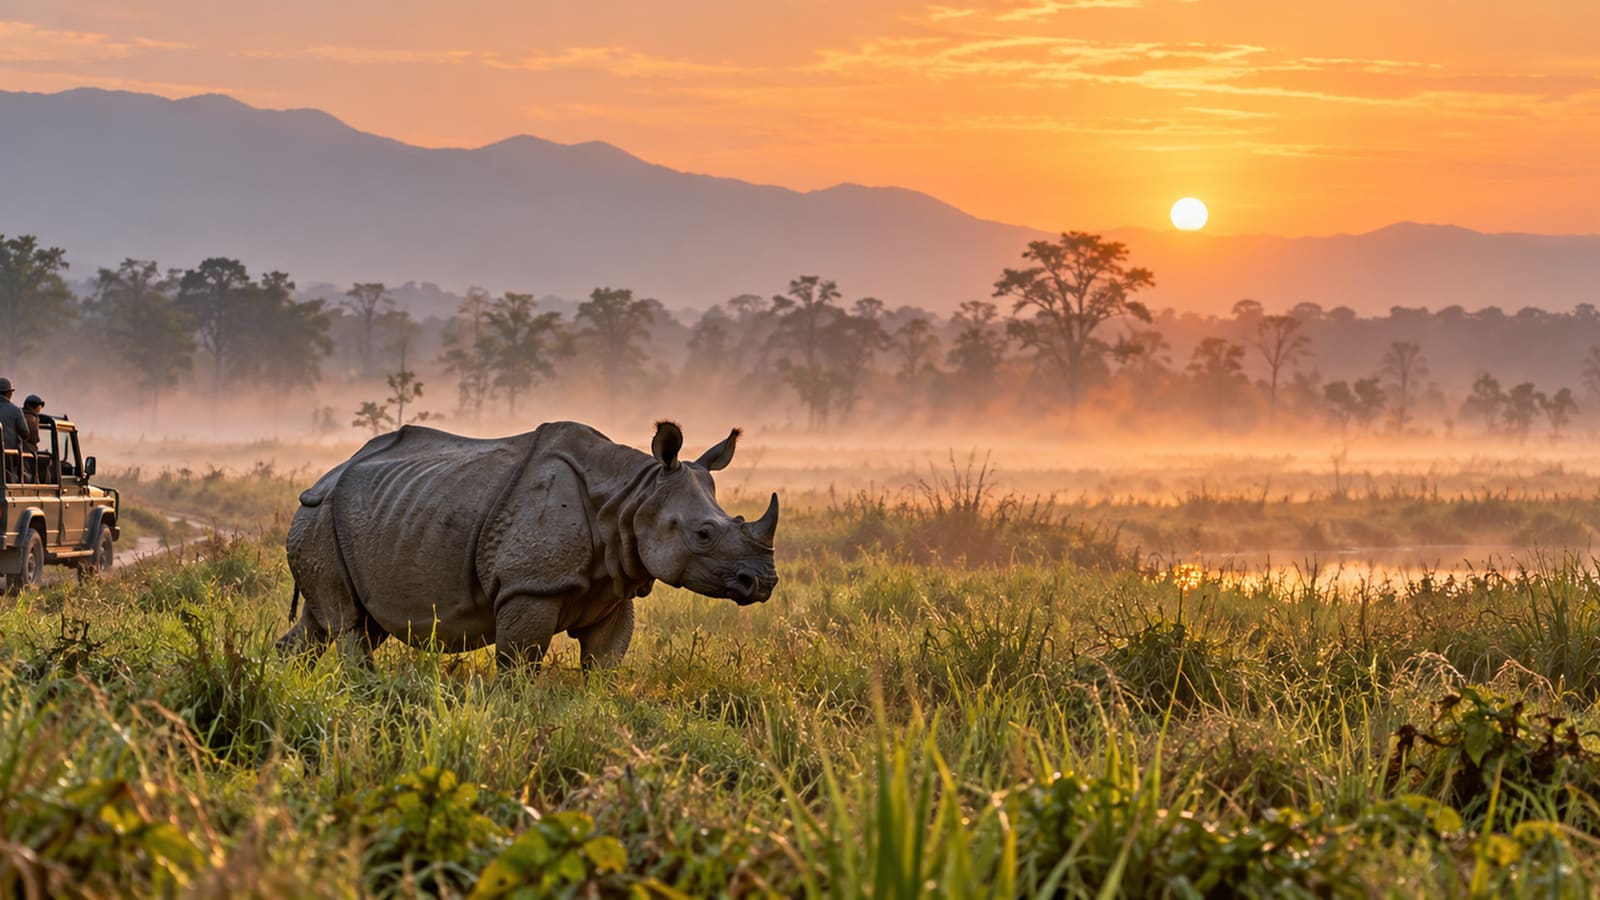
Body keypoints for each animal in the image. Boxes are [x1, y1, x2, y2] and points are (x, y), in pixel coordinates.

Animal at [277, 420, 778, 669]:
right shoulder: (530, 585)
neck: (631, 497)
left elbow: (605, 664)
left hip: (344, 521)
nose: (765, 582)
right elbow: (518, 667)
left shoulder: (616, 588)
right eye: (704, 534)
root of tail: (323, 478)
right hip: (320, 516)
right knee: (348, 626)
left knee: (330, 624)